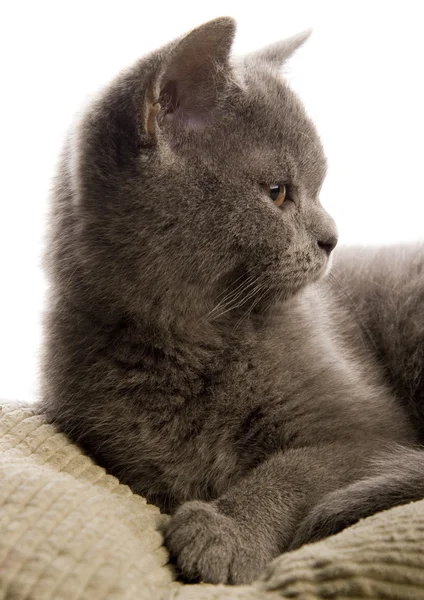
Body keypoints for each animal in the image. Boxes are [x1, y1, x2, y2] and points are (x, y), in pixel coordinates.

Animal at [39, 18, 424, 584]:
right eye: (277, 191)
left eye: (319, 187)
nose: (332, 238)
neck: (194, 338)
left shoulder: (371, 435)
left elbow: (294, 467)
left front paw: (226, 532)